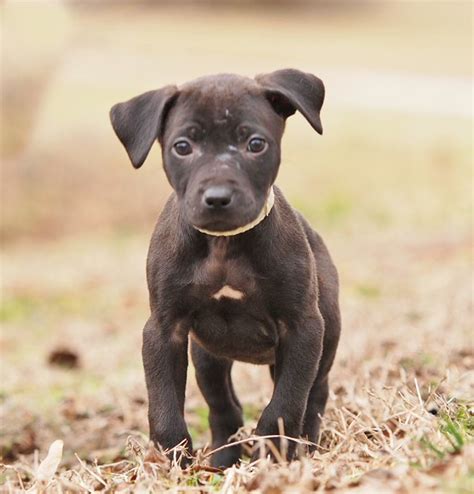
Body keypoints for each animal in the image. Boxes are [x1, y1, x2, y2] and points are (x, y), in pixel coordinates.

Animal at [110, 69, 340, 466]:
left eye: (255, 144)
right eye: (182, 146)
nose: (217, 198)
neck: (224, 247)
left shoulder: (303, 328)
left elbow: (284, 405)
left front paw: (272, 455)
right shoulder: (164, 330)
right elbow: (164, 406)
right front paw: (175, 461)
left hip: (326, 339)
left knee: (315, 396)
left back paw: (307, 447)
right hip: (208, 357)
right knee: (224, 407)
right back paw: (221, 460)